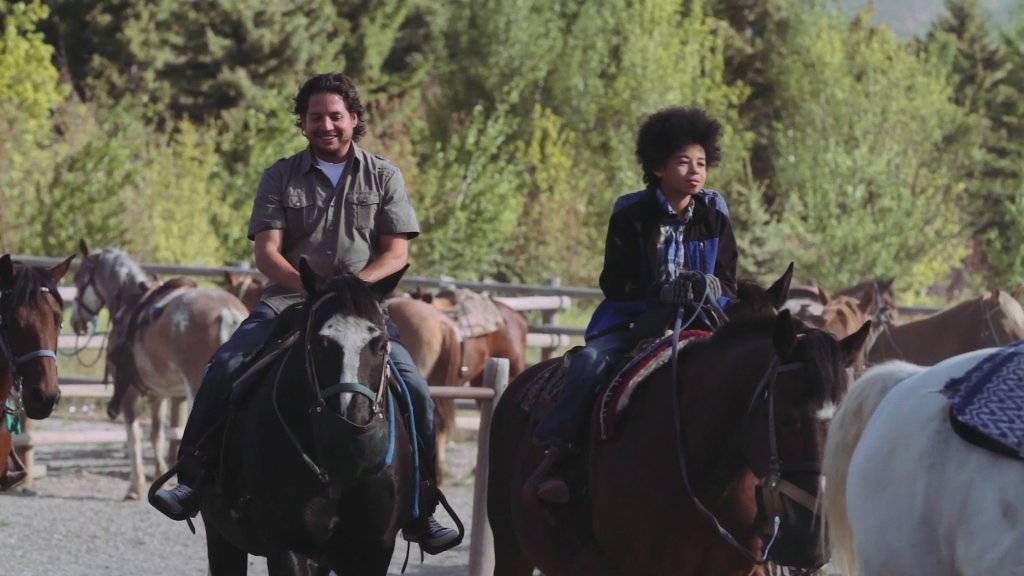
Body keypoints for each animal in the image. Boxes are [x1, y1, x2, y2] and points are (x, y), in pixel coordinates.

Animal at [188, 259, 415, 569]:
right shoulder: (288, 547)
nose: (349, 434)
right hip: (221, 535)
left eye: (381, 345)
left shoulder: (374, 550)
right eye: (319, 344)